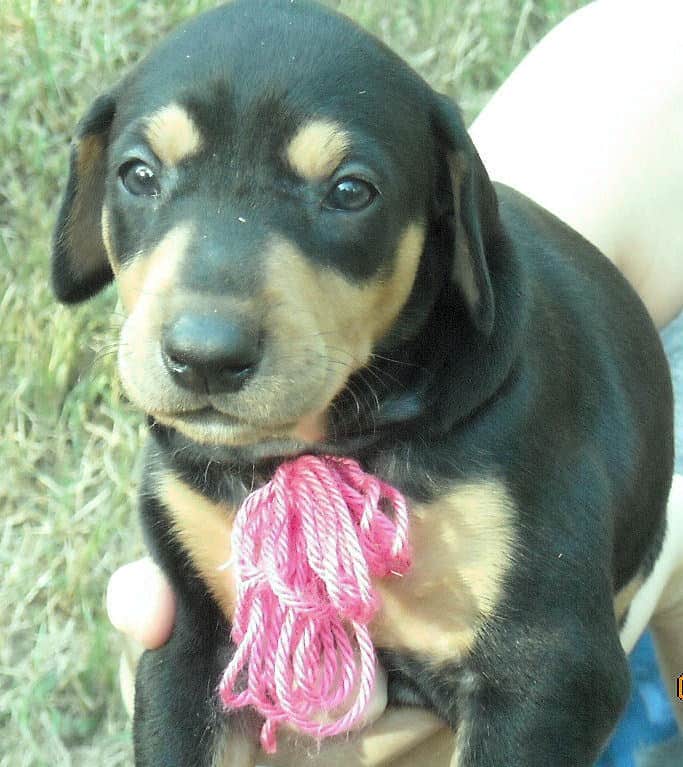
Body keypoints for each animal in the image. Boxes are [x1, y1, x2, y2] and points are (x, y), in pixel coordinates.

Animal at [50, 1, 676, 767]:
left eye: (350, 191)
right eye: (138, 175)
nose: (203, 357)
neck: (327, 444)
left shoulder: (549, 666)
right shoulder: (191, 642)